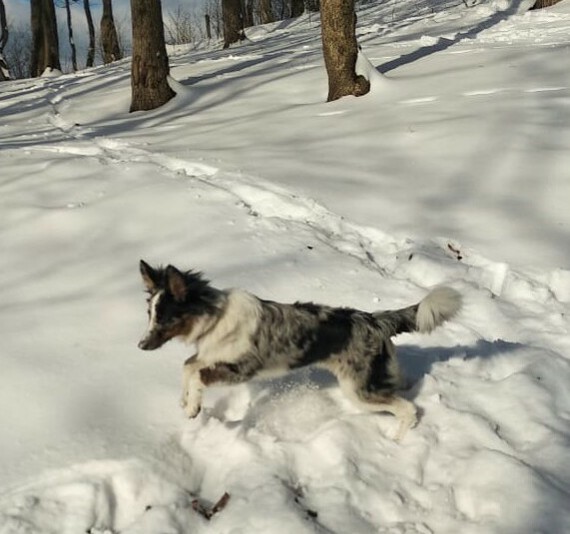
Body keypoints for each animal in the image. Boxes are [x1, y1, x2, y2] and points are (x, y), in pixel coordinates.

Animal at [139, 262, 462, 442]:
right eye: (150, 314)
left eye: (165, 318)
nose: (140, 346)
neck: (214, 317)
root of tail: (373, 320)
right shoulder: (211, 354)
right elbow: (188, 366)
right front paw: (185, 400)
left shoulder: (241, 370)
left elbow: (197, 374)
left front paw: (193, 407)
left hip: (359, 390)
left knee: (407, 409)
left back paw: (395, 441)